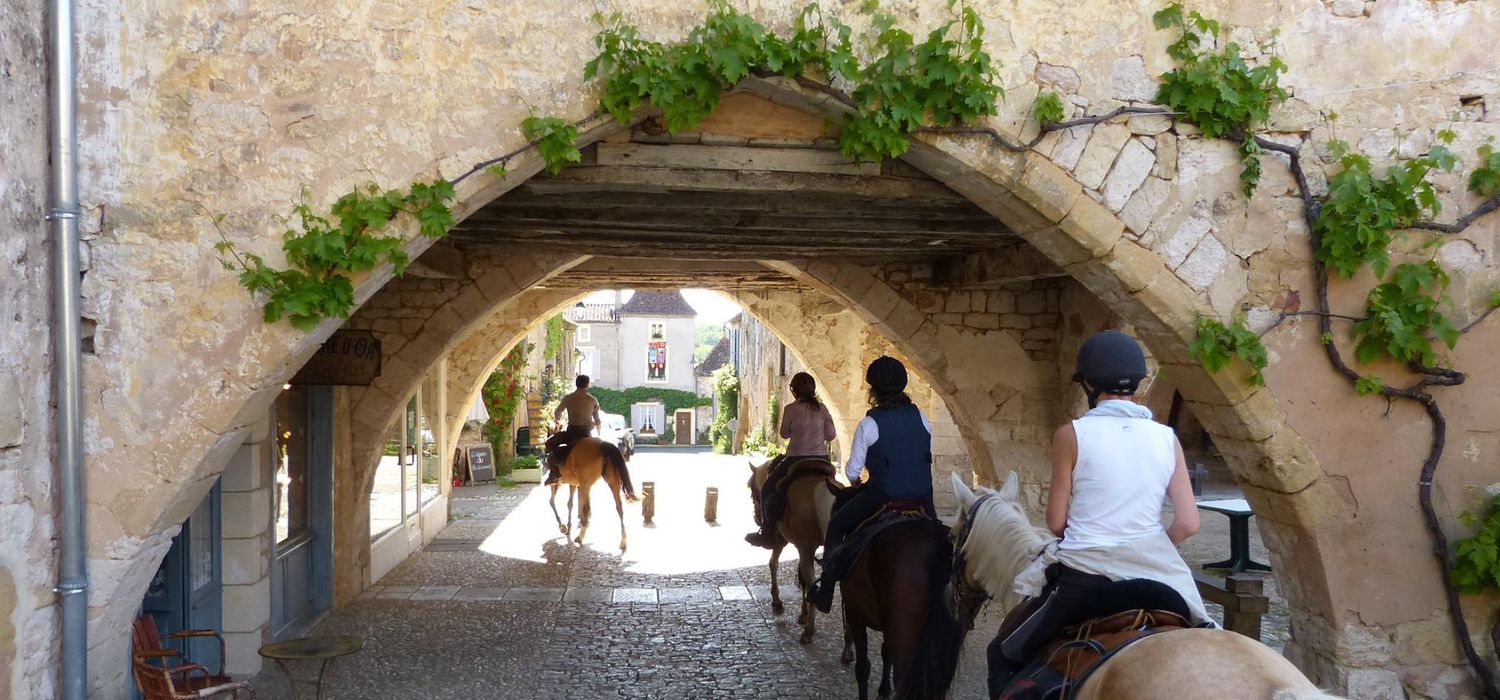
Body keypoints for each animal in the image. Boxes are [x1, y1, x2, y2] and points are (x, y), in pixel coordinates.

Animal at [747, 461, 840, 647]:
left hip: (805, 549)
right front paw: (803, 614)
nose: (756, 517)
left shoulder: (784, 541)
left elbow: (773, 564)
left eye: (752, 491)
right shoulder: (803, 549)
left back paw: (809, 632)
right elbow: (801, 579)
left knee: (811, 583)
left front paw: (777, 603)